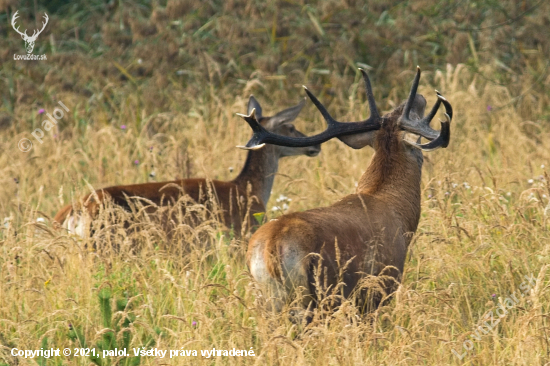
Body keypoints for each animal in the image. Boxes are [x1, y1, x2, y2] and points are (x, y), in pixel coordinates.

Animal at [240, 67, 452, 322]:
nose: (420, 97)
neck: (398, 212)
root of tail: (272, 247)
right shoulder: (380, 287)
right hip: (315, 297)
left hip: (267, 299)